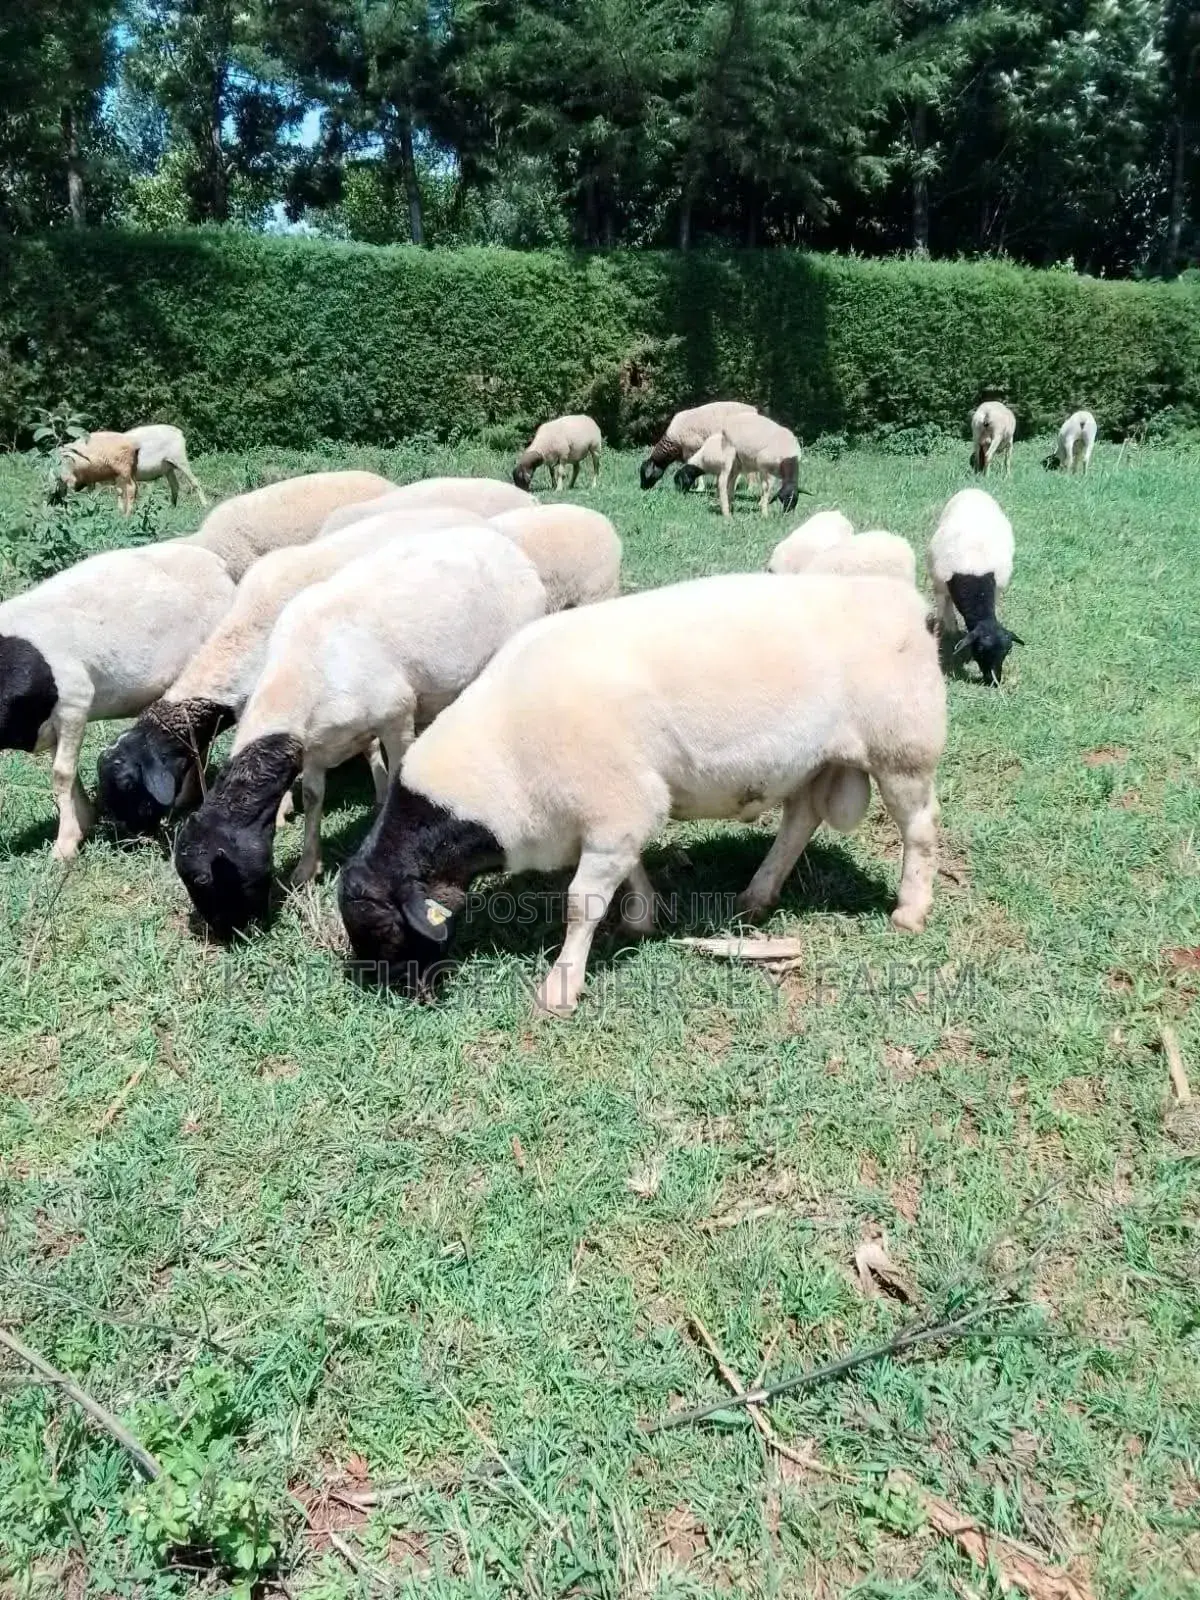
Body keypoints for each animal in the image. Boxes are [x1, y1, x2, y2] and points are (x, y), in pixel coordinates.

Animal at [0, 545, 236, 858]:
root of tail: (216, 562)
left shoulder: (75, 700)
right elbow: (67, 774)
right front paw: (84, 823)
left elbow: (62, 774)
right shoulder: (53, 723)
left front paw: (64, 849)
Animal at [173, 526, 547, 936]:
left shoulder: (397, 715)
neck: (301, 673)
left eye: (206, 879)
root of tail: (506, 544)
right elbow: (314, 797)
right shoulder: (314, 747)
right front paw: (306, 869)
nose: (227, 936)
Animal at [338, 572, 946, 1017]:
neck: (501, 757)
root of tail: (904, 601)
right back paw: (756, 895)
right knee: (799, 821)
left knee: (920, 828)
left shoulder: (616, 805)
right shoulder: (618, 813)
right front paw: (641, 918)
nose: (402, 997)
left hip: (903, 747)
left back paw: (910, 910)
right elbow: (627, 871)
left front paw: (561, 989)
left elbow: (581, 901)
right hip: (813, 762)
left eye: (385, 927)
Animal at [927, 488, 1023, 685]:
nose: (994, 682)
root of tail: (974, 489)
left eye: (1007, 651)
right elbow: (940, 615)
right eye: (979, 650)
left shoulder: (996, 589)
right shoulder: (939, 586)